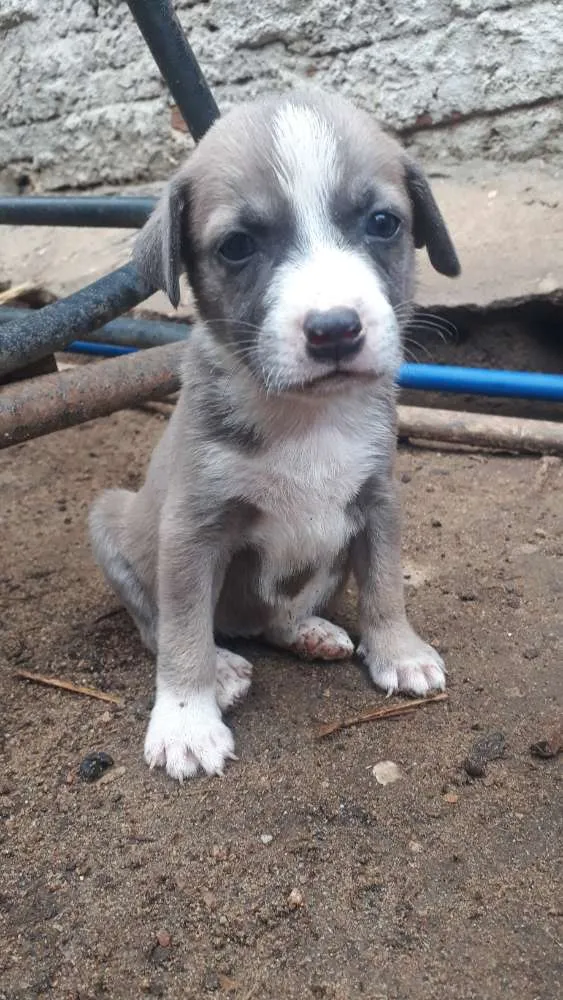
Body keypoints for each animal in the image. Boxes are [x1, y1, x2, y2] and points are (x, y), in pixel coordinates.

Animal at [87, 88, 458, 780]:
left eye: (383, 223)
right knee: (160, 625)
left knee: (274, 616)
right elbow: (183, 629)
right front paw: (186, 719)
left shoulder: (378, 500)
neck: (304, 416)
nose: (335, 329)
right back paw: (222, 668)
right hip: (109, 518)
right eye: (236, 246)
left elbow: (385, 584)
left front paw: (398, 650)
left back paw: (307, 631)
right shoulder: (191, 528)